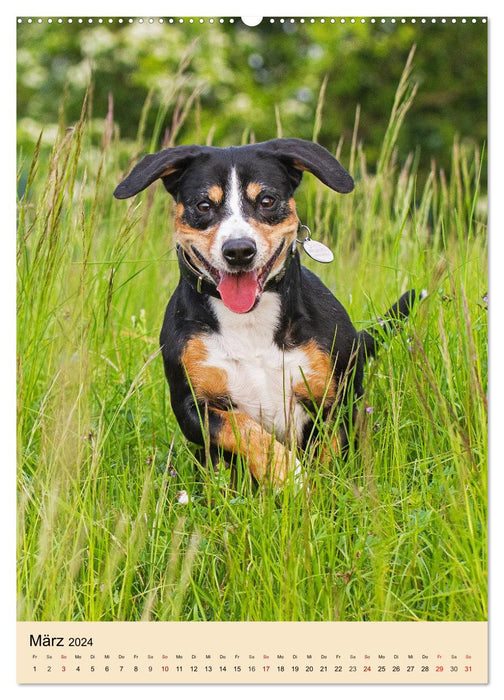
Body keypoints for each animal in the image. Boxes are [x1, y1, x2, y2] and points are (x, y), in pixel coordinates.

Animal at [115, 137, 418, 486]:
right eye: (204, 206)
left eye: (267, 200)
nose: (238, 250)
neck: (249, 321)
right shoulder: (191, 406)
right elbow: (246, 431)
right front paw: (291, 477)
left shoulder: (336, 398)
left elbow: (329, 458)